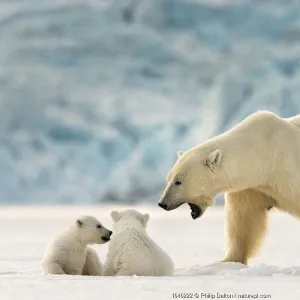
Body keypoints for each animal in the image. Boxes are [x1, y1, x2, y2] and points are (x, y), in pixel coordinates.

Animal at [158, 111, 300, 264]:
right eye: (168, 179)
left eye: (178, 182)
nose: (162, 203)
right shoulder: (250, 187)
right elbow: (243, 219)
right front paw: (228, 260)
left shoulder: (287, 169)